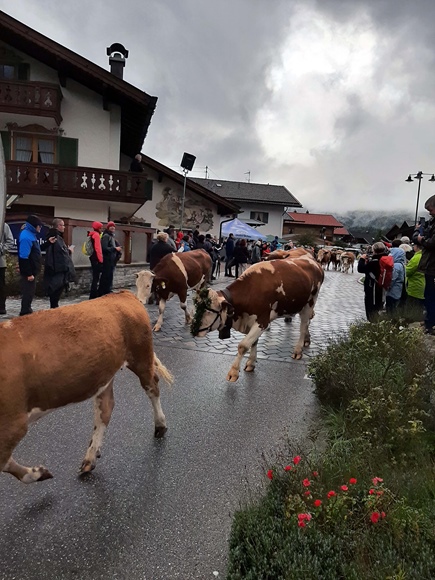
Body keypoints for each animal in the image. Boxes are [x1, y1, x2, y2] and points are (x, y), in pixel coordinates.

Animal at [0, 290, 174, 484]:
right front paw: (38, 473)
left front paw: (38, 473)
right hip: (105, 373)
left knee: (152, 386)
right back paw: (90, 458)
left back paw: (160, 425)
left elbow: (4, 461)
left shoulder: (13, 423)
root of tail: (121, 294)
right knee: (105, 408)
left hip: (141, 355)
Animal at [191, 248, 324, 380]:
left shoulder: (262, 321)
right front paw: (251, 363)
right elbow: (253, 342)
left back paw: (298, 350)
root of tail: (313, 260)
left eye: (208, 310)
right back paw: (306, 340)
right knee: (307, 323)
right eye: (197, 307)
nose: (193, 330)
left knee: (304, 325)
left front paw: (233, 372)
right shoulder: (251, 320)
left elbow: (243, 345)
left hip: (310, 302)